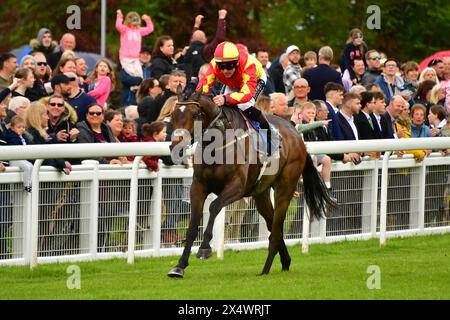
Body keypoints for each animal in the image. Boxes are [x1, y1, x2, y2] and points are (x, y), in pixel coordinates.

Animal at [167, 89, 336, 278]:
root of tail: (297, 135)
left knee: (276, 228)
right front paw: (179, 266)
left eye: (194, 114)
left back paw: (266, 269)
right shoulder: (198, 186)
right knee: (273, 225)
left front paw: (204, 248)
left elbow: (214, 206)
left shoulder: (237, 187)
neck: (218, 142)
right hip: (261, 193)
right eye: (173, 115)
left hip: (285, 188)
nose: (176, 147)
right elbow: (193, 223)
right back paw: (285, 261)